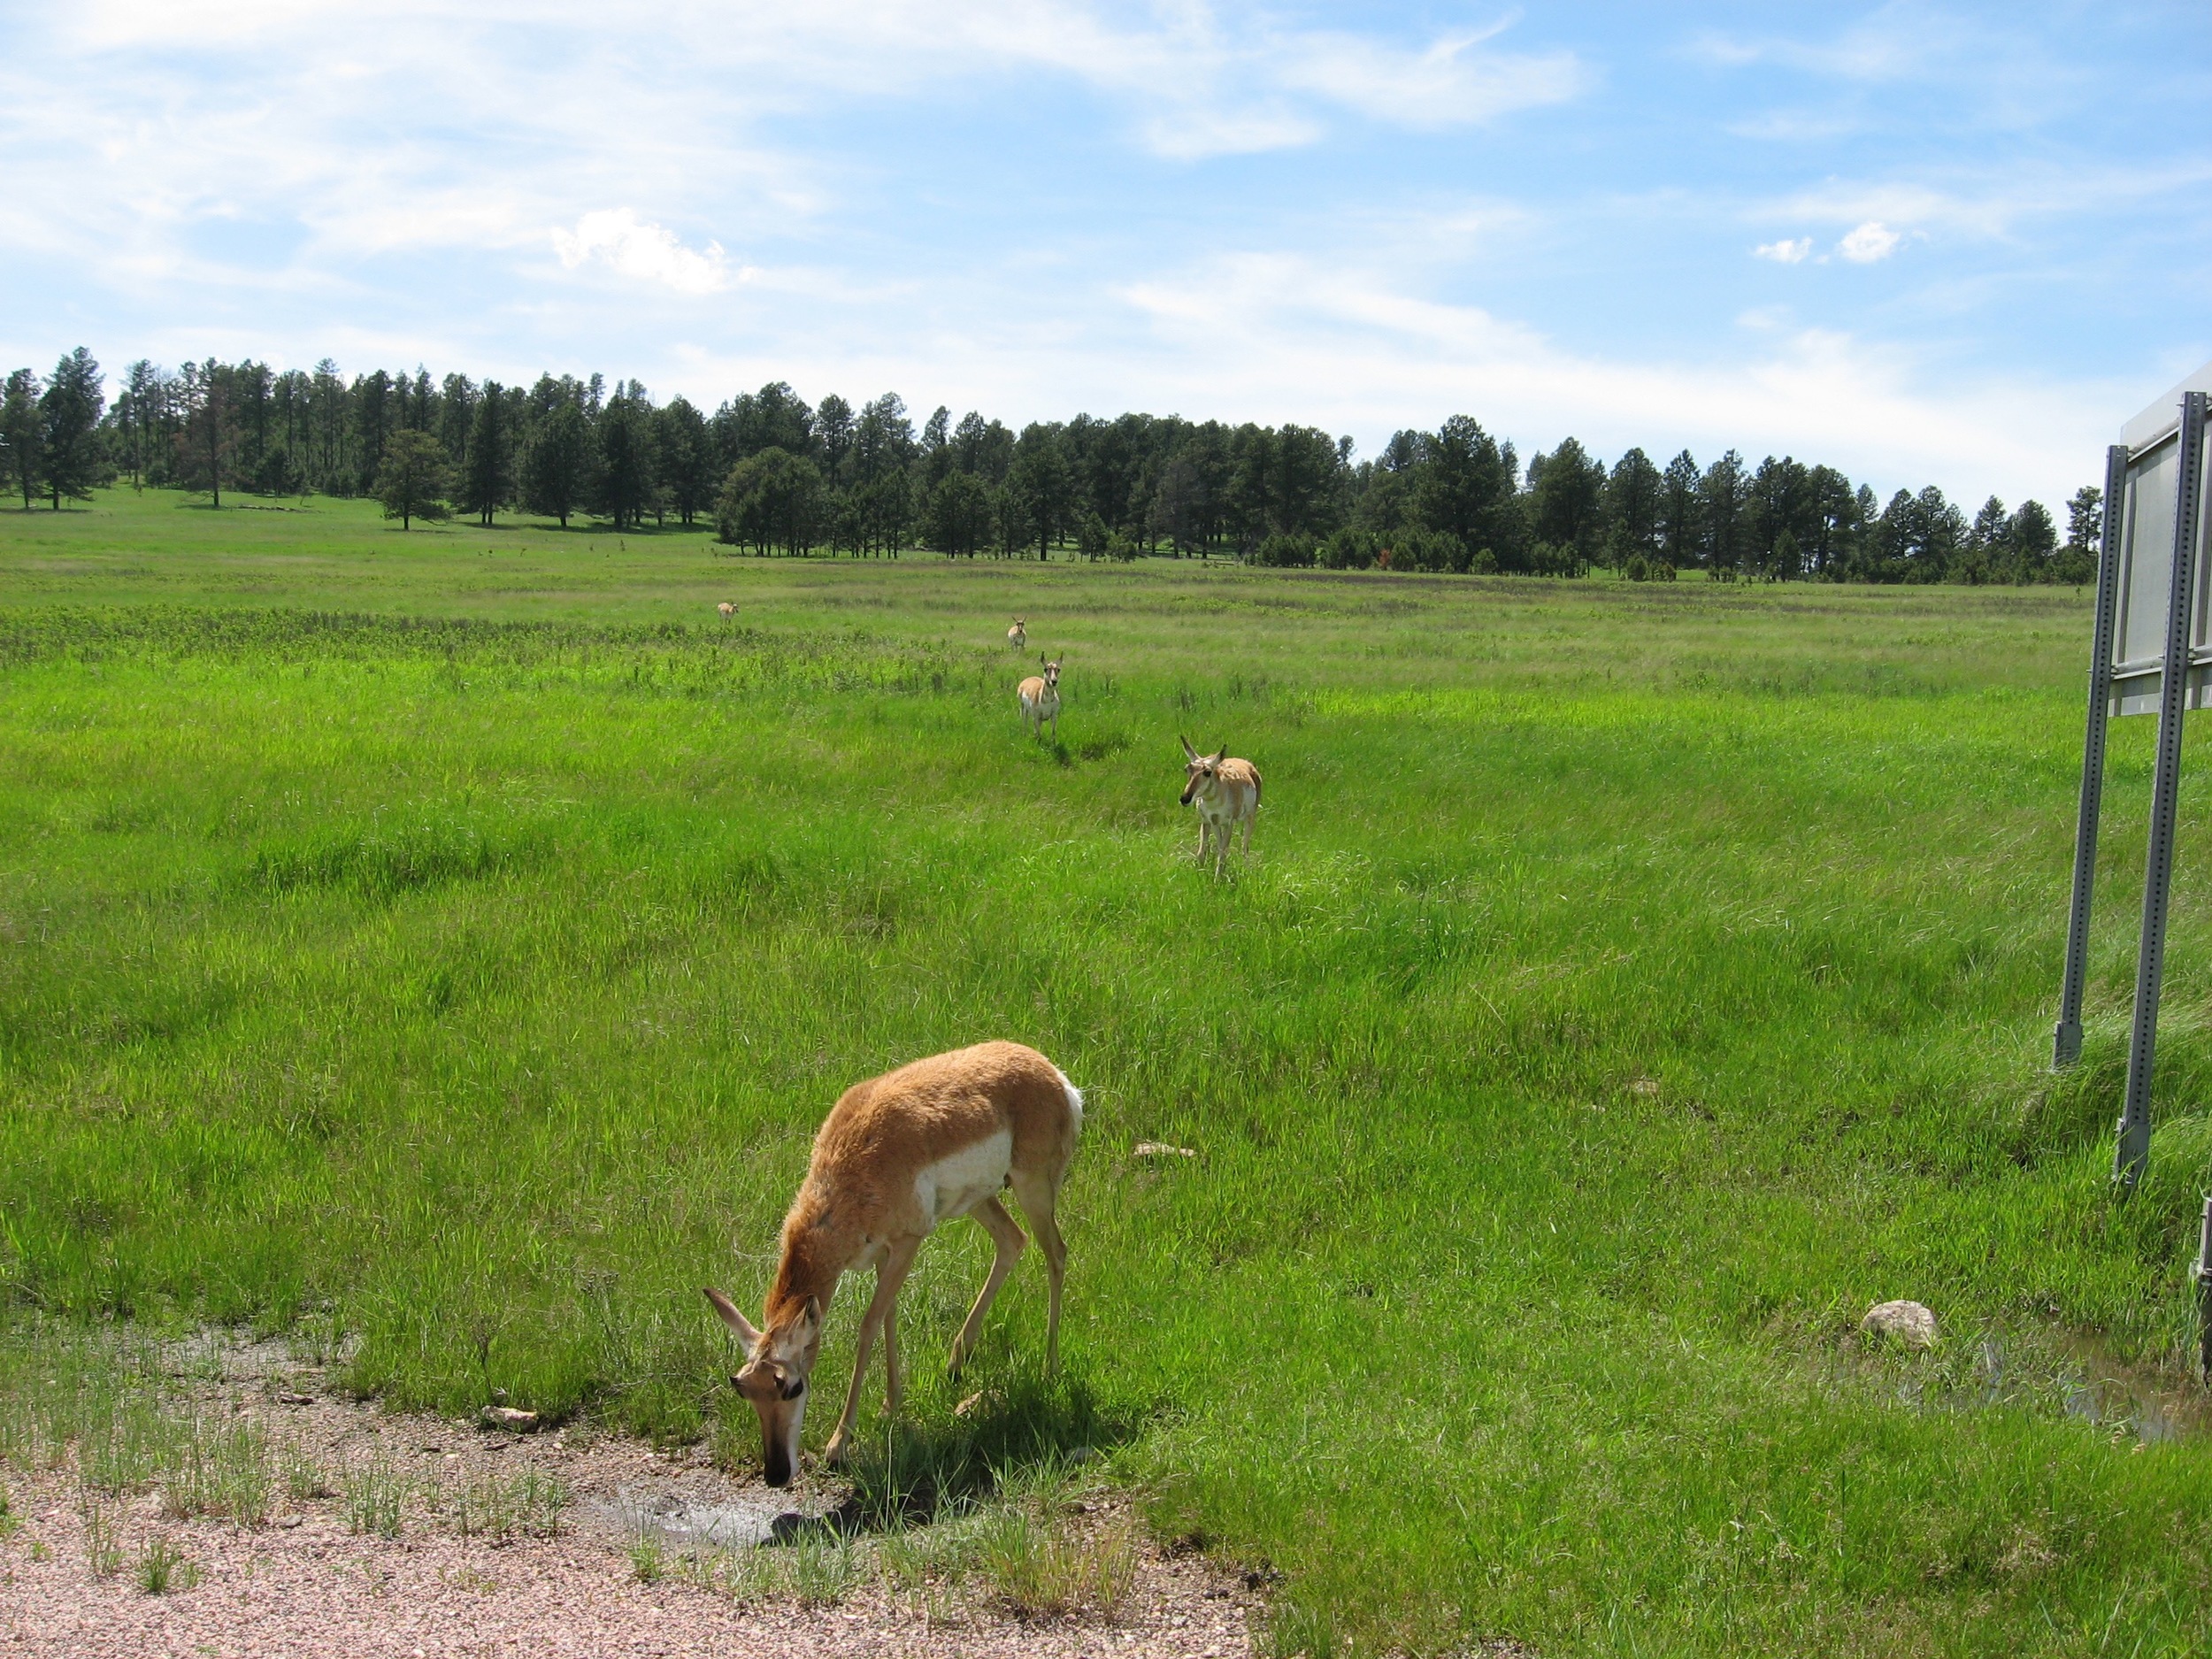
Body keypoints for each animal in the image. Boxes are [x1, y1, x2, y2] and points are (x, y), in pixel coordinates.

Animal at [699, 1044, 1079, 1486]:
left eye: (792, 1386)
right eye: (743, 1387)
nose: (776, 1474)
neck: (849, 1169)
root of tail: (1052, 1073)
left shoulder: (907, 1242)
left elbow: (868, 1325)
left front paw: (838, 1445)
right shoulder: (883, 1254)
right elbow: (889, 1316)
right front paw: (890, 1406)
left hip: (1031, 1186)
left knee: (1056, 1253)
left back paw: (1050, 1366)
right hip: (982, 1199)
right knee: (1012, 1241)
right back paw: (956, 1363)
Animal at [1177, 734, 1265, 876]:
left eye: (1207, 772)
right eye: (1187, 769)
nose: (1184, 799)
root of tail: (1247, 764)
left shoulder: (1229, 823)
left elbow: (1223, 852)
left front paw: (1217, 878)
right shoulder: (1207, 821)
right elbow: (1202, 852)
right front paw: (1200, 873)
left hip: (1250, 817)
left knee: (1245, 846)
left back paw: (1247, 869)